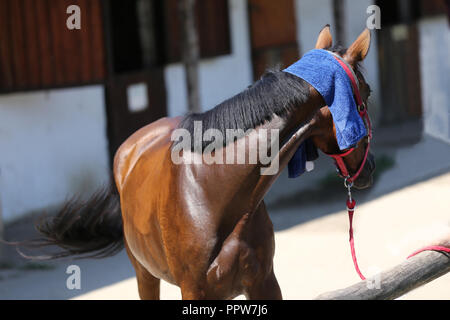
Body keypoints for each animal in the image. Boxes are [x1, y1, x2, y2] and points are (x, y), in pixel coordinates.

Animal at [26, 26, 374, 298]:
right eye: (367, 93)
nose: (368, 170)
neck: (215, 191)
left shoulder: (264, 282)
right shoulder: (195, 290)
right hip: (144, 274)